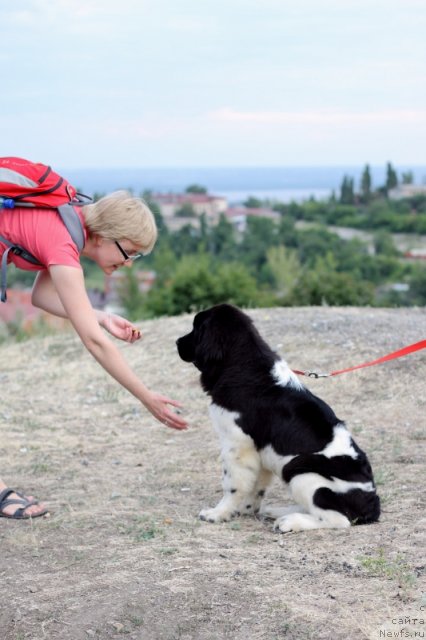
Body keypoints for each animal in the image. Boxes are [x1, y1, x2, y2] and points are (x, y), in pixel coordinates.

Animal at [175, 302, 382, 532]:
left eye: (195, 328)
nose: (177, 342)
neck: (242, 364)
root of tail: (372, 504)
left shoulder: (237, 444)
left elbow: (232, 484)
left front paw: (217, 513)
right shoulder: (259, 450)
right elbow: (257, 484)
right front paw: (246, 509)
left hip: (301, 472)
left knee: (337, 519)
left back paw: (289, 521)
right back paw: (277, 511)